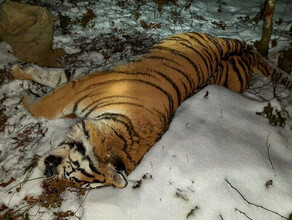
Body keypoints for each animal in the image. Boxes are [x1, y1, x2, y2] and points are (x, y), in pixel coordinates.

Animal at [10, 31, 290, 189]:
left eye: (71, 177)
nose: (47, 173)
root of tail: (246, 55)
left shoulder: (78, 87)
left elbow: (48, 94)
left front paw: (22, 86)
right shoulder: (79, 84)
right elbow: (49, 91)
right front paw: (20, 76)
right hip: (220, 40)